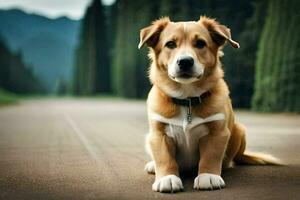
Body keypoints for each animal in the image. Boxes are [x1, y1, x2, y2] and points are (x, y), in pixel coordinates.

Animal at [138, 16, 278, 192]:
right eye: (170, 44)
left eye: (200, 43)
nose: (185, 62)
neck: (187, 99)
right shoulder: (158, 134)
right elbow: (164, 158)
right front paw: (167, 178)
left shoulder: (217, 132)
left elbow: (210, 156)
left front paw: (208, 176)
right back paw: (152, 165)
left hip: (239, 130)